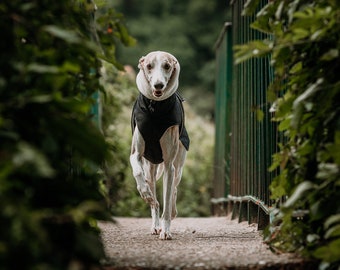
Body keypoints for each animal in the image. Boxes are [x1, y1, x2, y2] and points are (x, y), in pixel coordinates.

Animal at [130, 51, 190, 240]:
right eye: (149, 66)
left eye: (167, 66)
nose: (158, 85)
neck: (155, 109)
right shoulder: (136, 154)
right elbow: (137, 172)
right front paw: (145, 194)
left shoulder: (169, 165)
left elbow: (168, 199)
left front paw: (166, 230)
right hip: (151, 167)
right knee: (154, 197)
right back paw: (155, 224)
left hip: (177, 167)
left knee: (173, 191)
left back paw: (169, 215)